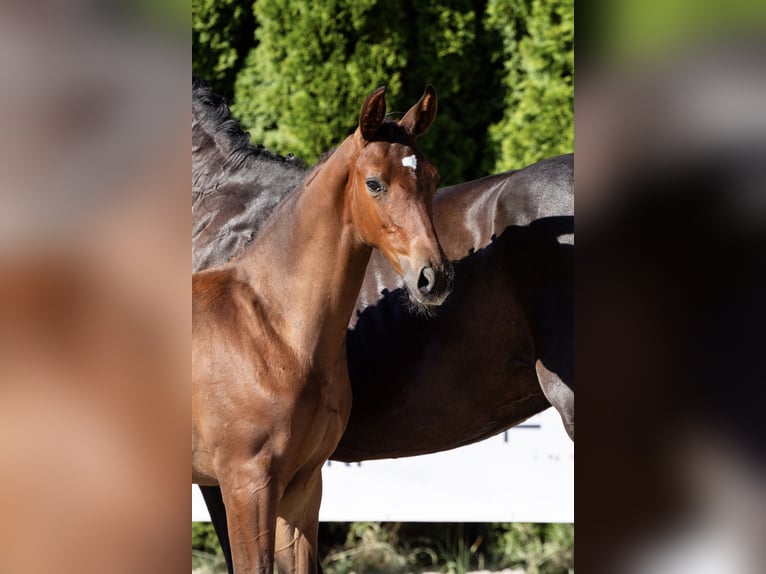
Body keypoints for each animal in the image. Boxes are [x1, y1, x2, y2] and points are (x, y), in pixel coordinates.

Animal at [192, 85, 451, 574]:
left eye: (432, 176)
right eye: (374, 183)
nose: (434, 277)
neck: (272, 329)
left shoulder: (303, 484)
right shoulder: (243, 484)